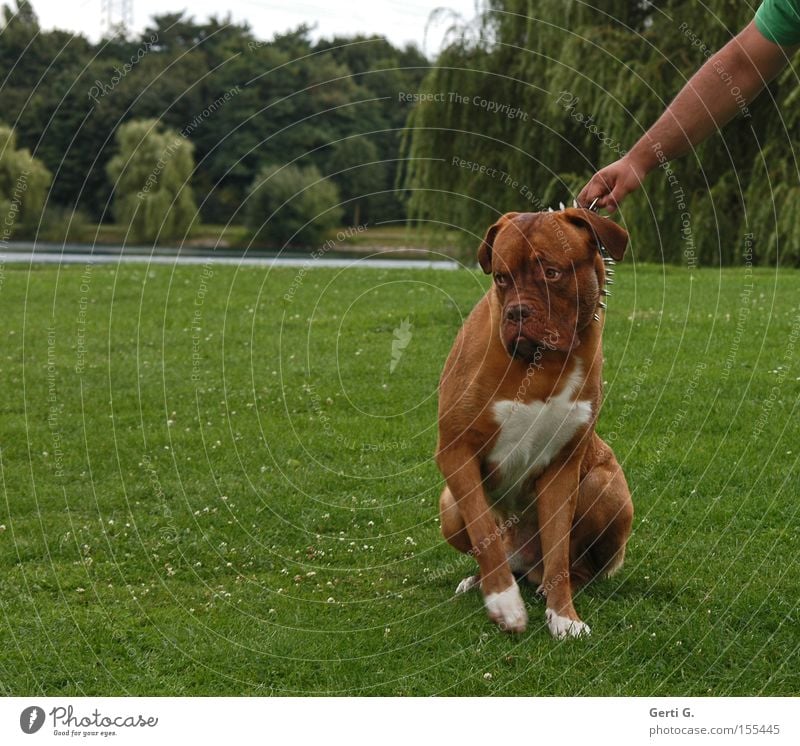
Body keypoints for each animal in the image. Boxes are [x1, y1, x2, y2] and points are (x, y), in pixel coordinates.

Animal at [434, 206, 636, 636]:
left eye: (552, 273)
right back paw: (482, 580)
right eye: (501, 278)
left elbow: (558, 550)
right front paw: (504, 601)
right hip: (449, 505)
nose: (517, 312)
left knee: (575, 565)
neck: (542, 364)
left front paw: (564, 617)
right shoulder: (456, 450)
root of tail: (526, 563)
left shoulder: (562, 468)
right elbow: (484, 528)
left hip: (605, 485)